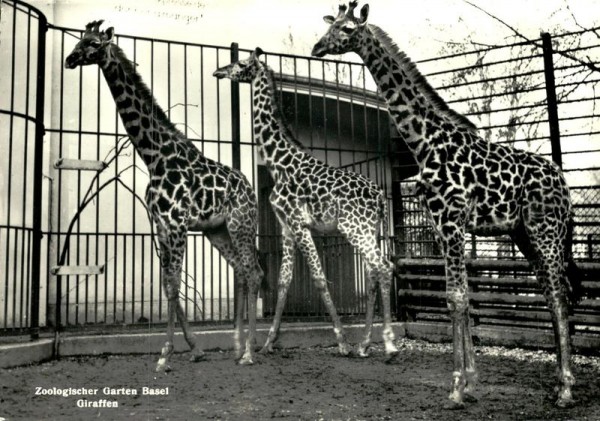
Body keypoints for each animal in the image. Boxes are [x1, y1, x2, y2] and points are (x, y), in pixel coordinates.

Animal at [64, 19, 264, 370]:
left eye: (93, 43)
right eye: (79, 40)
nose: (69, 59)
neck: (154, 155)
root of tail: (250, 190)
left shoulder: (176, 224)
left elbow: (173, 285)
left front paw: (166, 354)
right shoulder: (160, 224)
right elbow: (166, 284)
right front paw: (191, 349)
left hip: (241, 225)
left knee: (253, 272)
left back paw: (250, 353)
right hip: (217, 230)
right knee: (241, 270)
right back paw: (239, 347)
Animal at [214, 48, 398, 358]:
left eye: (240, 63)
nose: (219, 71)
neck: (278, 162)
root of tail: (380, 199)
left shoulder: (300, 223)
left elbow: (319, 277)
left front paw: (341, 341)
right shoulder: (287, 227)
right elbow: (284, 281)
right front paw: (268, 343)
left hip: (354, 228)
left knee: (384, 268)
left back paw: (388, 345)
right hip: (369, 230)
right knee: (374, 273)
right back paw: (364, 344)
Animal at [312, 0, 584, 406]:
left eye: (346, 30)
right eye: (330, 26)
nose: (316, 48)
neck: (425, 140)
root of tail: (564, 184)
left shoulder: (452, 219)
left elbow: (455, 298)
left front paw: (456, 386)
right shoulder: (441, 225)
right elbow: (461, 297)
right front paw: (470, 382)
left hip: (545, 230)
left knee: (558, 292)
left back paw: (566, 387)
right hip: (523, 234)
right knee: (553, 293)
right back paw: (558, 382)